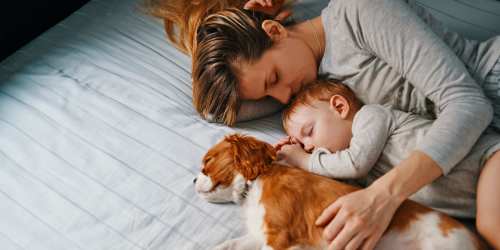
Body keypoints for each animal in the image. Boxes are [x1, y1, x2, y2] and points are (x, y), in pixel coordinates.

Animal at [194, 134, 484, 249]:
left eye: (207, 161)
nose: (194, 178)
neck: (256, 183)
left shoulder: (279, 238)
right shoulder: (260, 234)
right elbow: (228, 244)